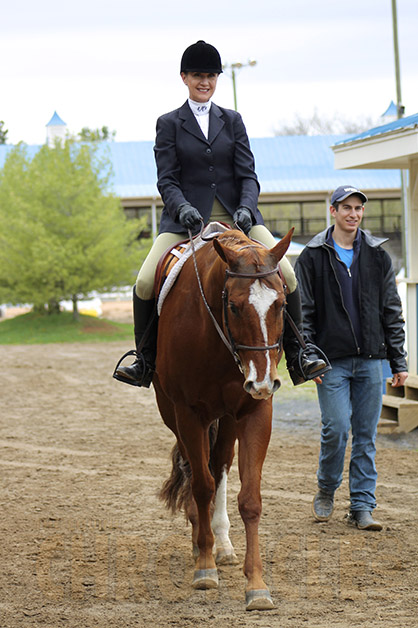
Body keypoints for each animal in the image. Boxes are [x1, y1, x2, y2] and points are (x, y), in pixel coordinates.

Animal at [152, 226, 292, 608]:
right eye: (233, 306)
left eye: (281, 304)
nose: (263, 381)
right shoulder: (188, 413)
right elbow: (201, 485)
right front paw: (204, 567)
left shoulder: (254, 411)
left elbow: (250, 499)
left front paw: (256, 584)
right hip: (174, 414)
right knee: (195, 468)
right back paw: (201, 539)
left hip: (227, 420)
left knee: (220, 465)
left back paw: (223, 543)